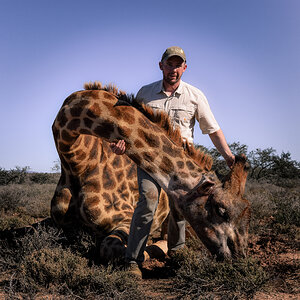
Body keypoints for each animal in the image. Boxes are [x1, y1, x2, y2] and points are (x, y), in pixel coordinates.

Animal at [52, 81, 251, 262]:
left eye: (246, 209)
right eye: (221, 210)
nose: (239, 255)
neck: (76, 158)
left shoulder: (124, 218)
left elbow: (110, 247)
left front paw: (150, 249)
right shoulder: (59, 225)